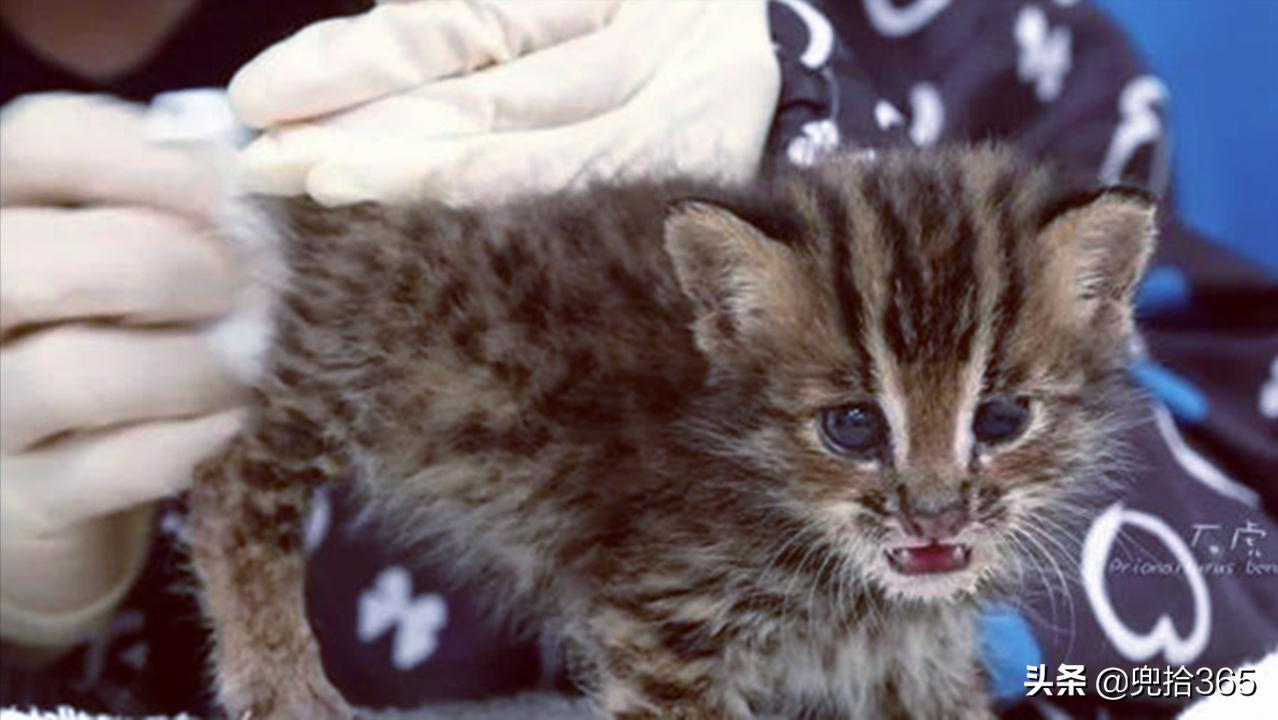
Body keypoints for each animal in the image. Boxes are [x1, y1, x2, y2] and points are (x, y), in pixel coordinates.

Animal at [189, 146, 1160, 720]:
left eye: (1001, 419)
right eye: (851, 426)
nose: (934, 515)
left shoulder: (913, 655)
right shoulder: (665, 626)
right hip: (342, 361)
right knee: (232, 481)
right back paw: (275, 676)